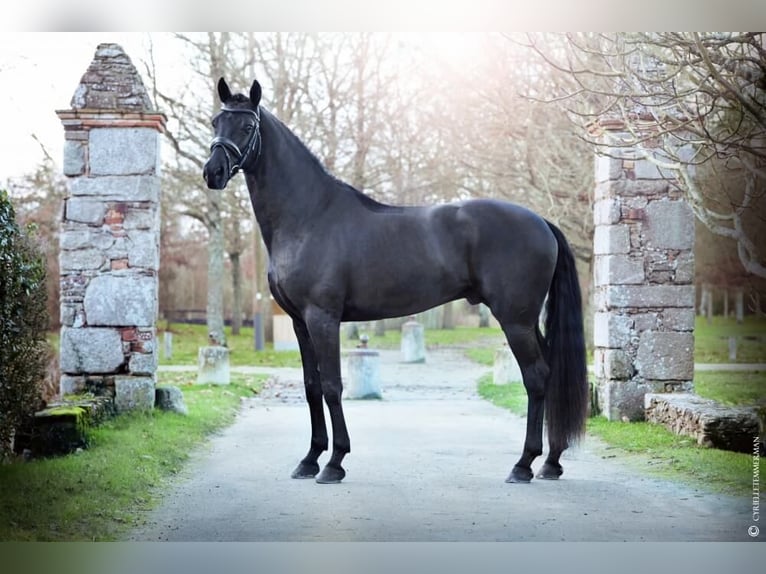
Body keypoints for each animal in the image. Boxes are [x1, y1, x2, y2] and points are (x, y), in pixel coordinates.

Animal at [203, 78, 588, 485]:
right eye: (215, 122)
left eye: (247, 127)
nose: (212, 172)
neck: (308, 216)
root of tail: (542, 221)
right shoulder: (299, 322)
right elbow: (311, 387)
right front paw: (309, 460)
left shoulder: (322, 318)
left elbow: (332, 386)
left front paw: (334, 462)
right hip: (527, 321)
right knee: (550, 374)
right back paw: (551, 462)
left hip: (515, 320)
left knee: (536, 377)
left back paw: (524, 464)